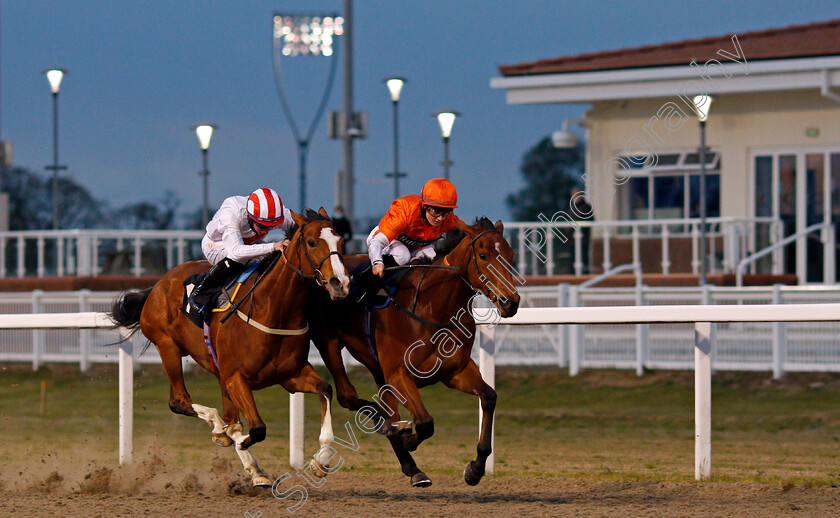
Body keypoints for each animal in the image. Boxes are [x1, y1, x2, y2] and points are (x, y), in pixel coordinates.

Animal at [110, 207, 348, 488]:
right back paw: (221, 432)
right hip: (168, 347)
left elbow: (325, 390)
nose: (340, 283)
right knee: (180, 401)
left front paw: (321, 461)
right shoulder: (236, 377)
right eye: (311, 242)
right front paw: (238, 443)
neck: (273, 309)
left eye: (340, 242)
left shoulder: (290, 375)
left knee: (224, 416)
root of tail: (157, 285)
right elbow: (256, 429)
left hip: (215, 369)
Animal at [308, 217, 520, 490]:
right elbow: (425, 422)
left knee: (387, 408)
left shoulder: (455, 371)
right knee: (348, 396)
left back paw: (411, 464)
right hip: (330, 344)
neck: (432, 308)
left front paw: (475, 468)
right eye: (483, 255)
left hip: (379, 371)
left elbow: (489, 397)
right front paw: (407, 437)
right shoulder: (399, 374)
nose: (511, 301)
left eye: (511, 254)